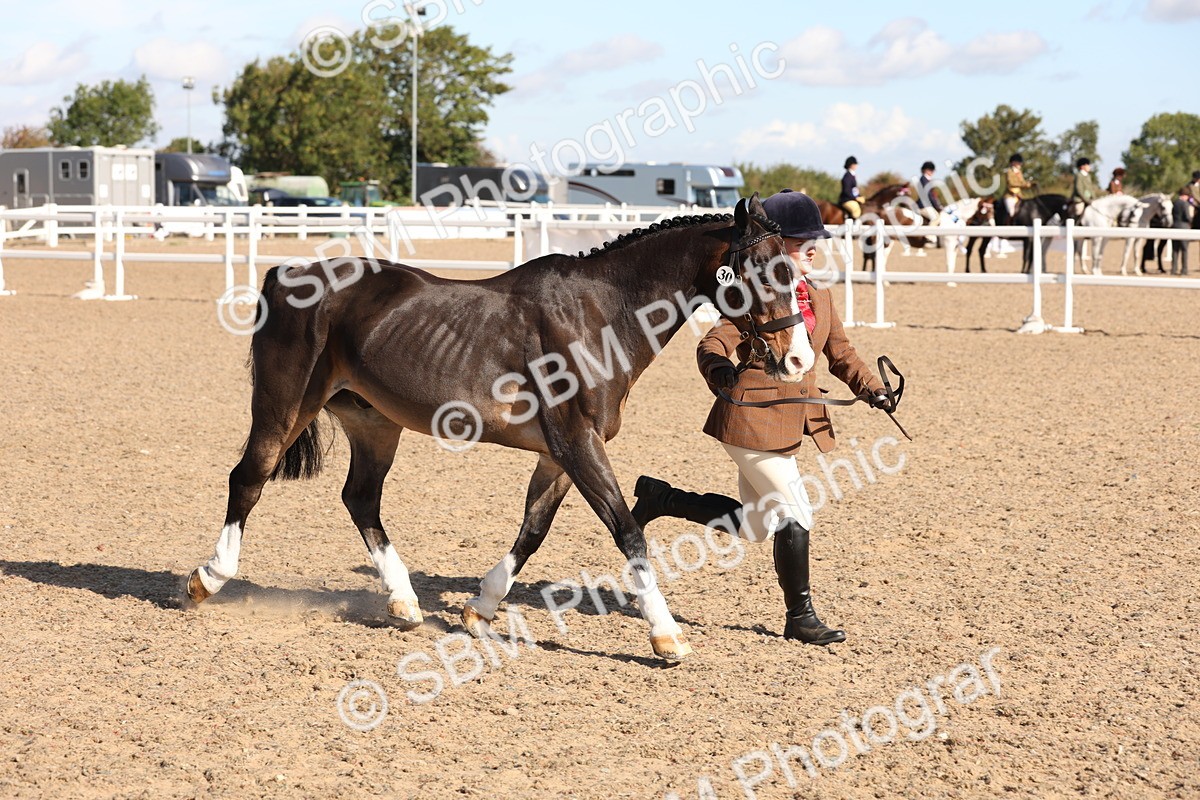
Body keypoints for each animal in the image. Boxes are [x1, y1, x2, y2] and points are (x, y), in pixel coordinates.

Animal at [183, 195, 812, 662]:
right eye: (765, 271)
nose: (799, 359)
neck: (600, 314)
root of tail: (287, 272)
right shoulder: (577, 445)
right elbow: (629, 533)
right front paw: (667, 637)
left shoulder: (560, 455)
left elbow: (532, 532)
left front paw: (478, 608)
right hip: (284, 408)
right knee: (249, 479)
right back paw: (207, 579)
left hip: (374, 424)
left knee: (360, 499)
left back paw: (405, 603)